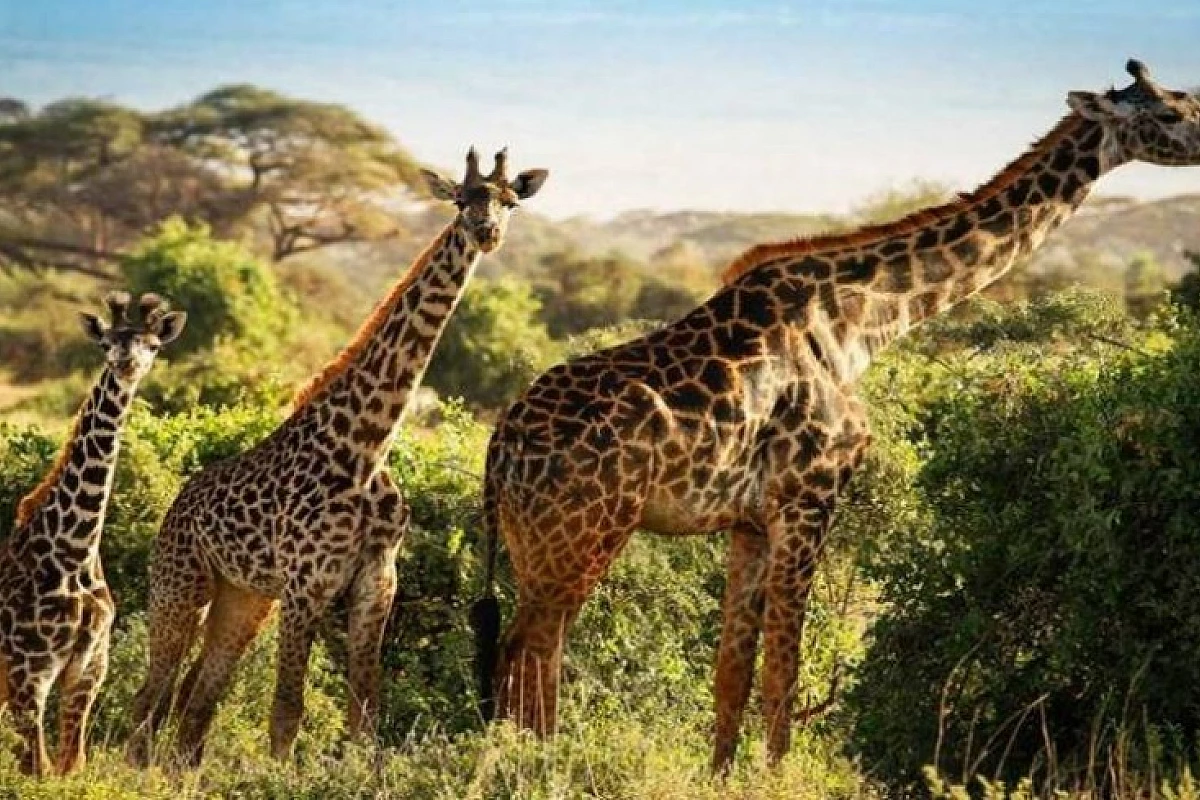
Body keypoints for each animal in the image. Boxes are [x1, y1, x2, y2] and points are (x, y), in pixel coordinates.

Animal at [0, 292, 186, 777]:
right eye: (107, 342)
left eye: (153, 345)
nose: (127, 362)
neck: (75, 550)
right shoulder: (30, 674)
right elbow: (39, 770)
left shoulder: (88, 674)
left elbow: (71, 765)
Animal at [123, 146, 549, 767]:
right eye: (459, 199)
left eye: (510, 201)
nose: (485, 232)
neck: (368, 445)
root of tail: (173, 507)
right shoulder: (307, 584)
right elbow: (287, 712)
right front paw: (276, 778)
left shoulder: (377, 581)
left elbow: (364, 714)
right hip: (181, 588)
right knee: (149, 698)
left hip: (242, 598)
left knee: (195, 703)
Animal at [475, 59, 1200, 772]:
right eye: (1173, 111)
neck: (862, 319)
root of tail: (499, 450)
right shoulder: (811, 495)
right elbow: (785, 666)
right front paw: (775, 775)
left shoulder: (749, 521)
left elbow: (732, 669)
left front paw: (722, 774)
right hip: (584, 534)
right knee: (529, 652)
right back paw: (534, 767)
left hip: (534, 542)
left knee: (520, 654)